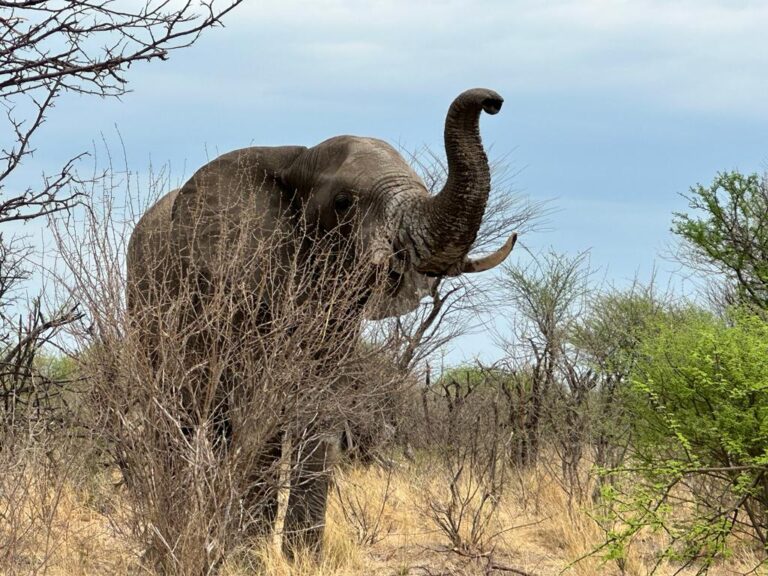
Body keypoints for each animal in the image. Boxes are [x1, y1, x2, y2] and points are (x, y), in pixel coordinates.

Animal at [126, 88, 516, 556]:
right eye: (344, 204)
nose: (494, 102)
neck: (296, 158)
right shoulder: (238, 282)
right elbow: (261, 405)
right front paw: (250, 553)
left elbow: (322, 403)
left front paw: (299, 555)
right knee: (178, 414)